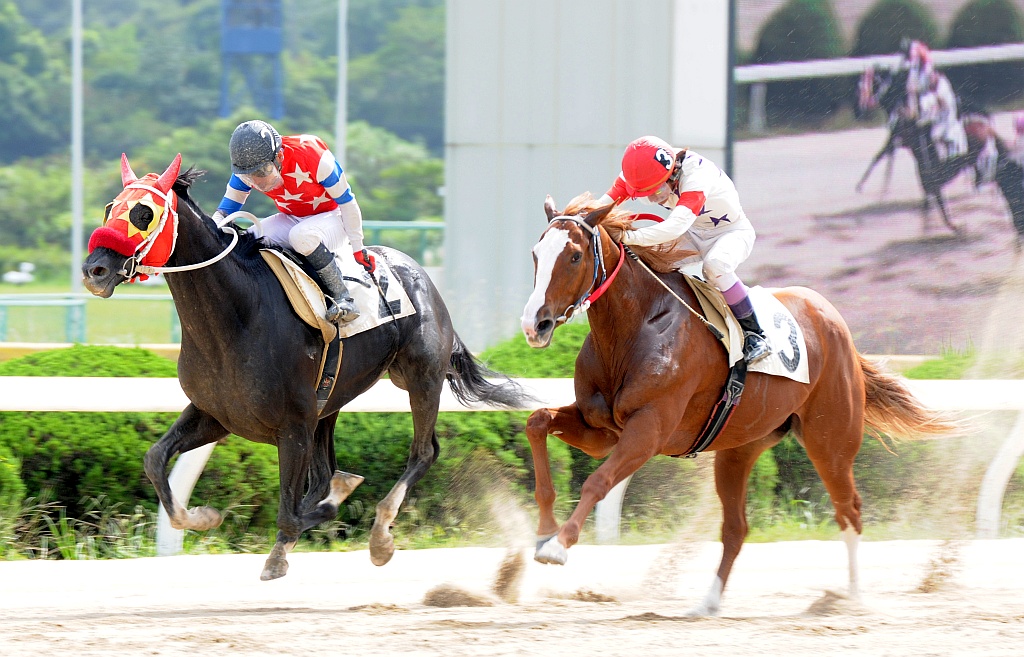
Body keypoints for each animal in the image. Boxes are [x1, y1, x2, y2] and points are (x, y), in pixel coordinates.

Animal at [81, 154, 533, 580]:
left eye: (144, 213)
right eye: (109, 208)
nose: (93, 270)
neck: (237, 316)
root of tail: (421, 275)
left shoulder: (293, 425)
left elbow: (292, 510)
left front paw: (281, 552)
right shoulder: (218, 414)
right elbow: (155, 459)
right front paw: (203, 516)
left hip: (420, 378)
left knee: (423, 452)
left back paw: (380, 535)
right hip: (331, 402)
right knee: (325, 472)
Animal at [519, 194, 959, 615]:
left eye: (574, 255)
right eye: (536, 254)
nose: (534, 324)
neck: (636, 326)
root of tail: (836, 323)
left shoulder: (649, 430)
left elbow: (597, 481)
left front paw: (557, 546)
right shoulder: (603, 431)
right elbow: (537, 422)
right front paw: (543, 530)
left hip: (830, 441)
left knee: (848, 509)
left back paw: (851, 599)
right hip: (740, 448)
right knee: (736, 527)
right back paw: (707, 604)